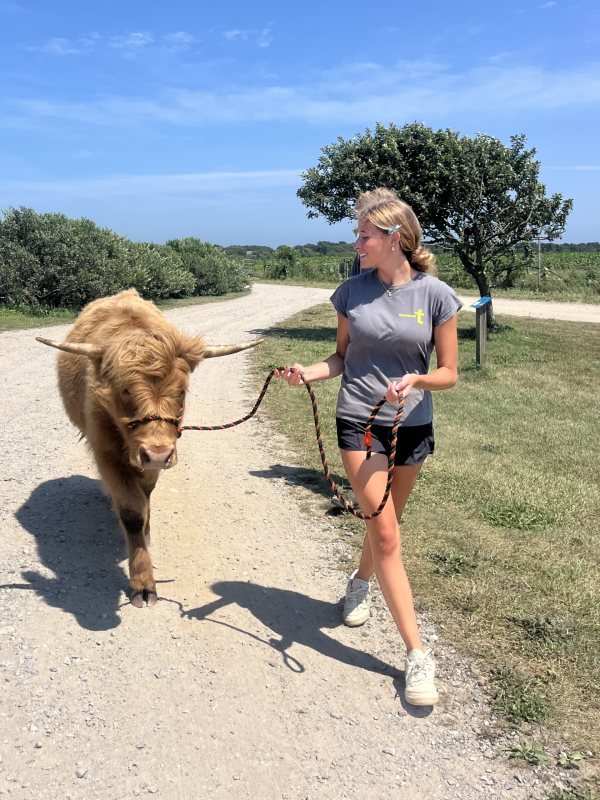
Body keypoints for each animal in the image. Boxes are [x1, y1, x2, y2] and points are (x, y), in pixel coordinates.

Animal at [37, 288, 263, 607]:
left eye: (181, 392)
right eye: (125, 390)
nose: (157, 454)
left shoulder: (157, 460)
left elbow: (144, 500)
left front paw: (146, 534)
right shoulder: (106, 453)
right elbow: (132, 512)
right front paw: (142, 582)